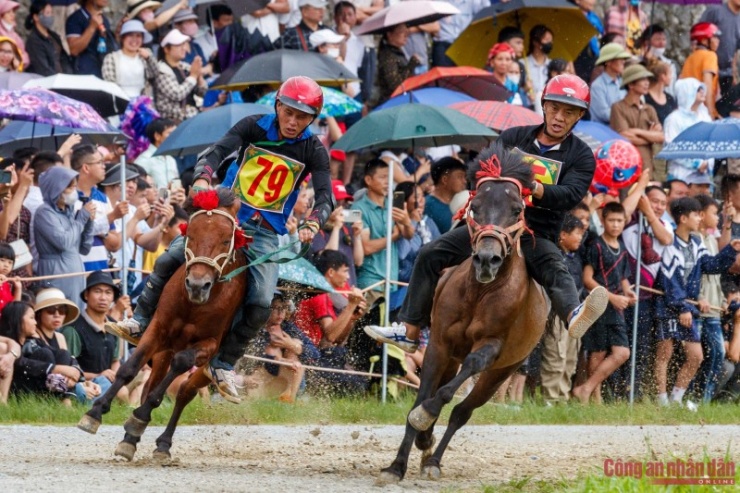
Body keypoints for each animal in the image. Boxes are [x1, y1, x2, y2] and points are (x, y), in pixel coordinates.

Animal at [77, 188, 247, 462]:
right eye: (190, 234)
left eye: (224, 240)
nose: (197, 285)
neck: (193, 305)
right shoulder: (158, 328)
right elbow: (129, 369)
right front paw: (95, 413)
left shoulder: (209, 344)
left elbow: (180, 367)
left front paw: (139, 417)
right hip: (163, 351)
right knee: (151, 385)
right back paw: (130, 439)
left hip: (205, 367)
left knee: (185, 391)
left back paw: (162, 441)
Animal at [376, 148, 548, 482]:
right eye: (475, 206)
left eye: (517, 209)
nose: (487, 259)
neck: (478, 293)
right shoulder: (440, 344)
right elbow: (420, 396)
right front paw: (396, 465)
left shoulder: (492, 346)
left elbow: (461, 377)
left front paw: (425, 419)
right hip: (451, 356)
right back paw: (425, 442)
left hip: (503, 371)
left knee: (461, 412)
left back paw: (433, 458)